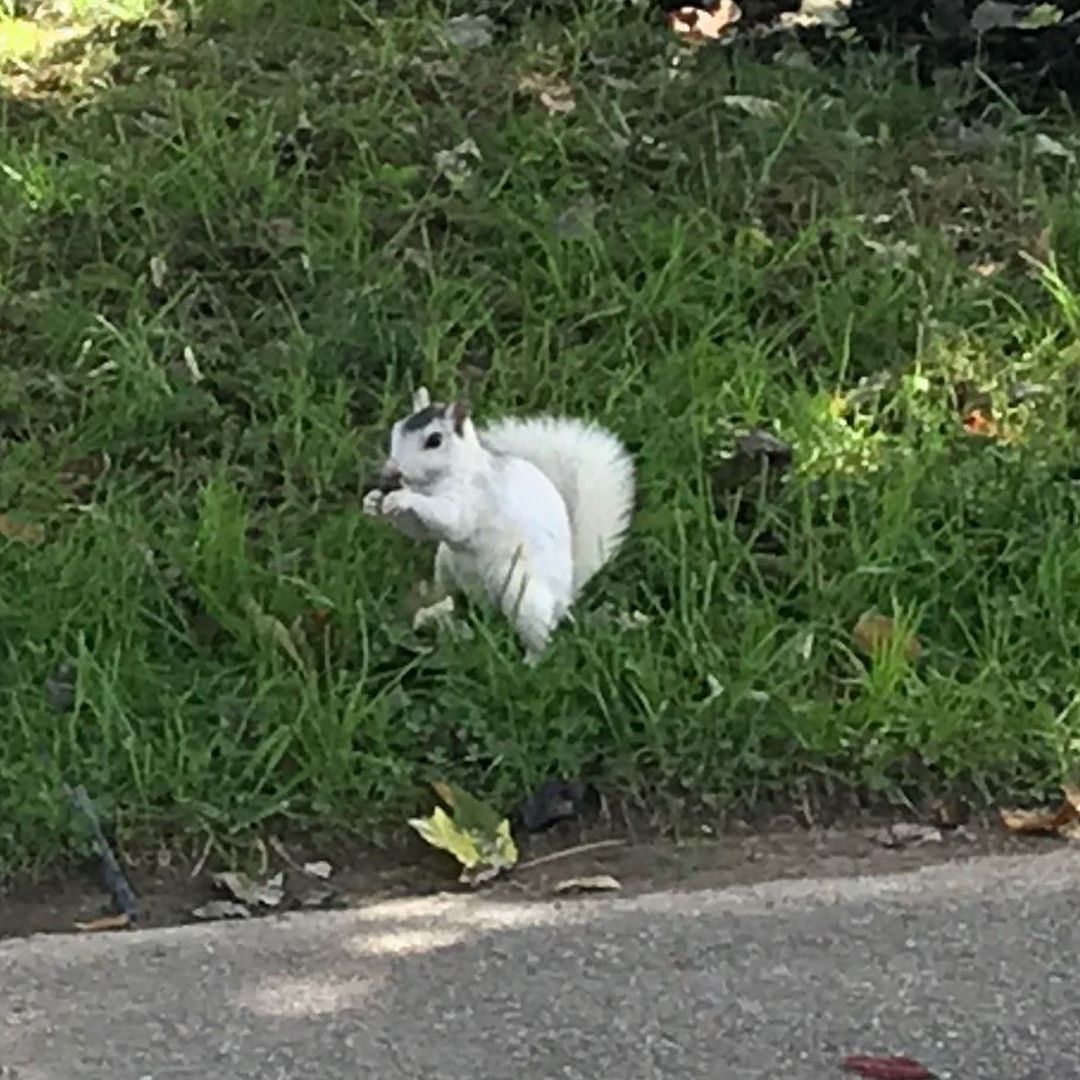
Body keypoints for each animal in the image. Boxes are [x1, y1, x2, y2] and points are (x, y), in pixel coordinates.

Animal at [365, 386, 630, 656]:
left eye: (434, 440)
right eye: (397, 428)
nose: (391, 472)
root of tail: (564, 597)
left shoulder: (470, 500)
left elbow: (451, 518)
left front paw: (401, 498)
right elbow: (418, 530)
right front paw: (373, 502)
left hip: (521, 595)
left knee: (539, 637)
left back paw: (530, 660)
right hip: (446, 566)